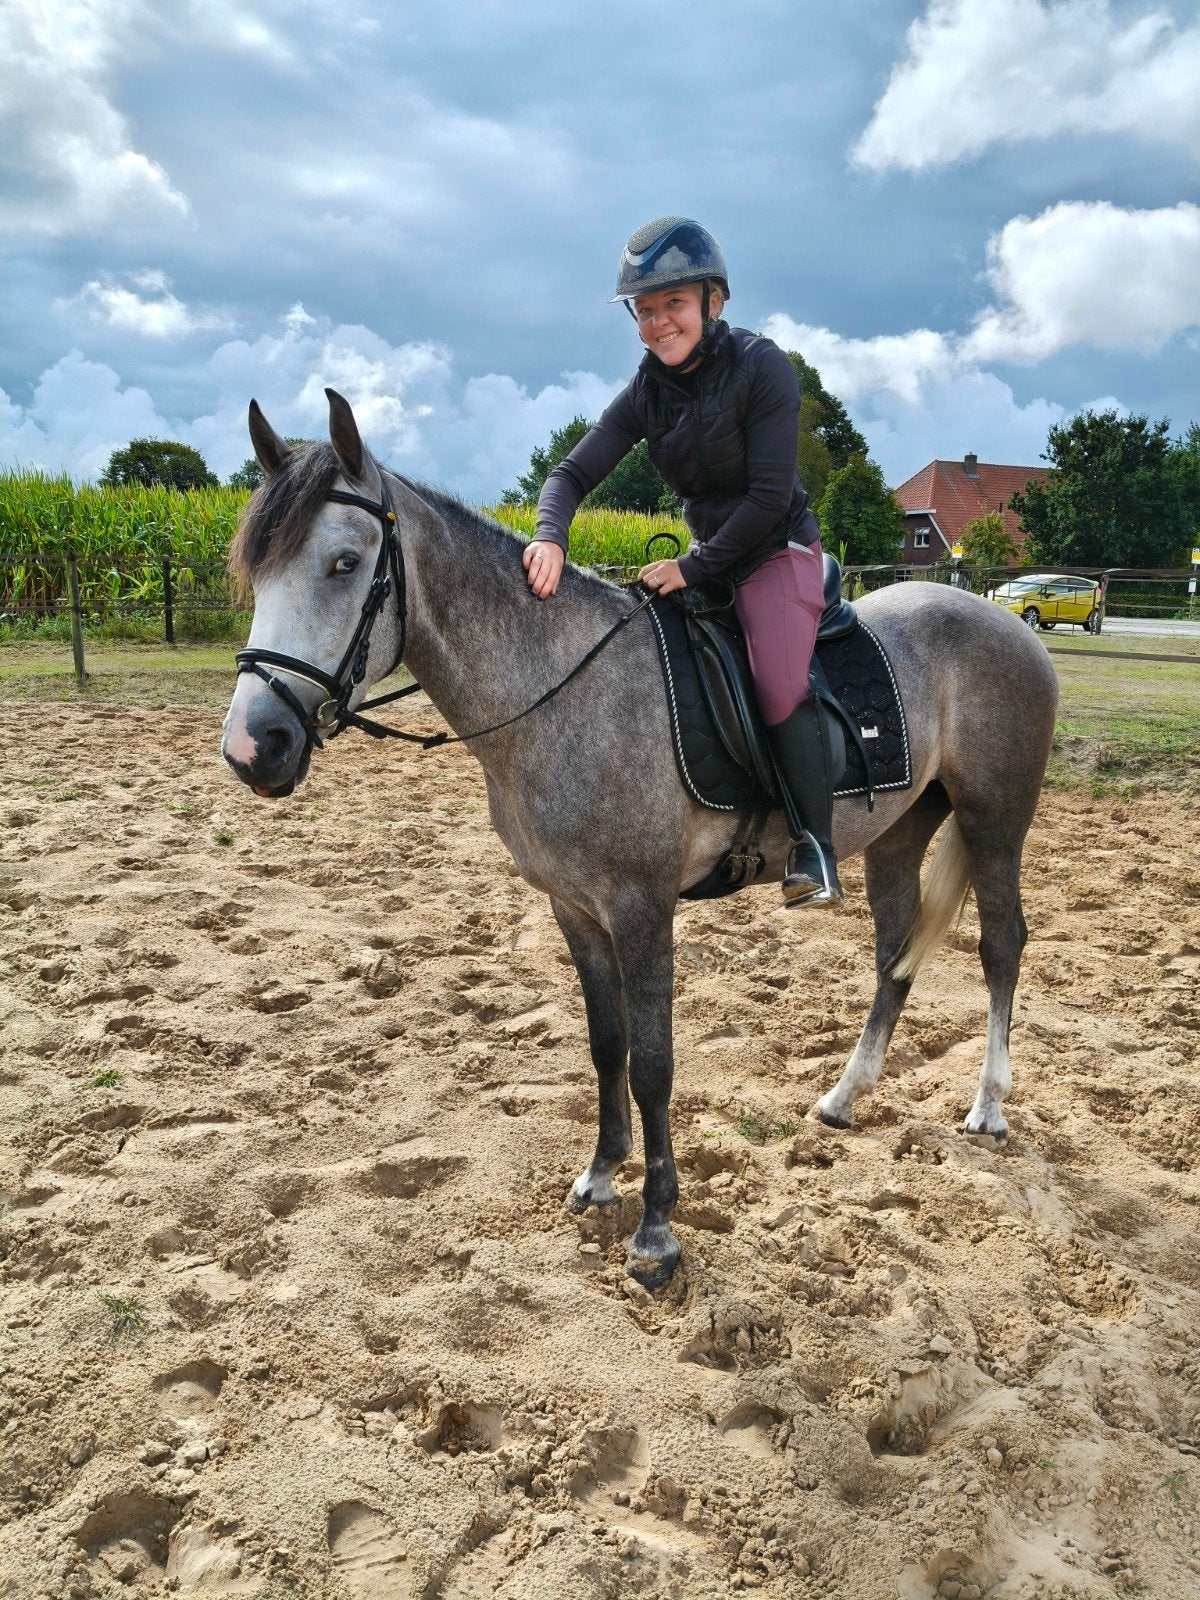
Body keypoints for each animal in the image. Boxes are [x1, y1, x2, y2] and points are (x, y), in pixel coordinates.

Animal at [221, 389, 1059, 1290]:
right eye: (255, 569)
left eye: (345, 563)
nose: (253, 746)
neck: (561, 690)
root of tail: (1007, 621)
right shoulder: (576, 909)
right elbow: (606, 1044)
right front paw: (599, 1175)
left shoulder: (641, 907)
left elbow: (655, 1062)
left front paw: (657, 1231)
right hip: (899, 832)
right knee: (895, 953)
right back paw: (844, 1097)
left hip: (994, 820)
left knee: (1002, 945)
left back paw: (987, 1105)